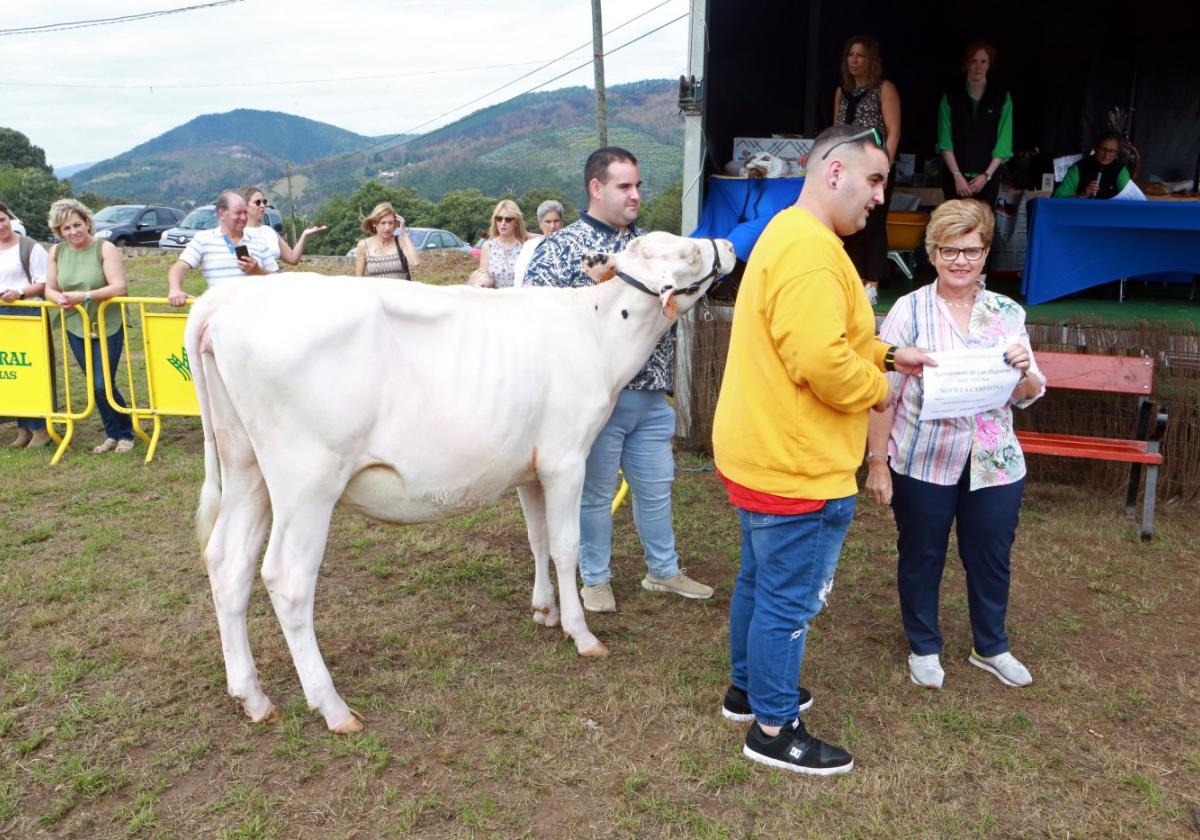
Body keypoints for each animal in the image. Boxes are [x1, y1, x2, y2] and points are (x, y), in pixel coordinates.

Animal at [183, 232, 734, 729]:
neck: (595, 328)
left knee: (227, 561)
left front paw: (544, 610)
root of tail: (226, 300)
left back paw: (252, 697)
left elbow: (536, 539)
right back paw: (333, 708)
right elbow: (565, 545)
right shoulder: (565, 458)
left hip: (245, 467)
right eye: (688, 251)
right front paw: (581, 633)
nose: (727, 243)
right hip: (306, 482)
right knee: (287, 579)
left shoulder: (529, 466)